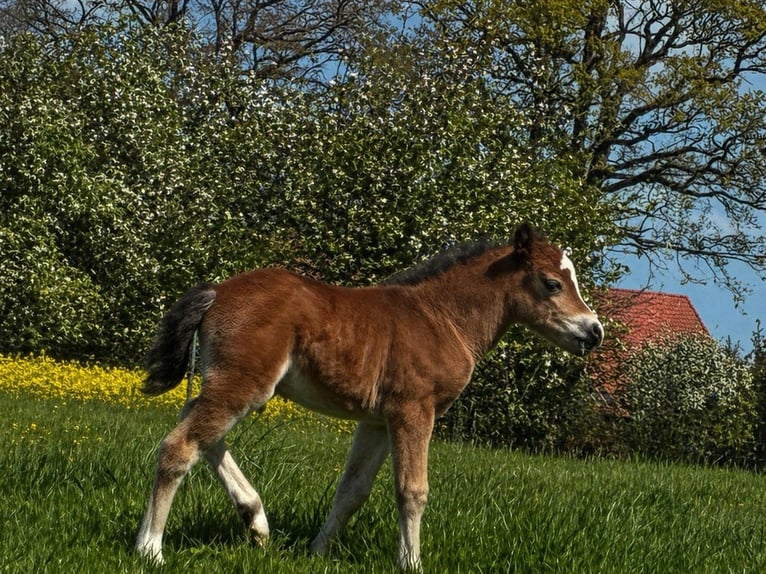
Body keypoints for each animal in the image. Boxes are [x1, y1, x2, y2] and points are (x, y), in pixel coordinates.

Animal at [135, 223, 603, 570]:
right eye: (552, 283)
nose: (594, 332)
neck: (441, 318)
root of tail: (216, 292)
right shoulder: (413, 410)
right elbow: (412, 490)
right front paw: (411, 564)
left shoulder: (377, 420)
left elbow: (352, 489)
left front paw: (317, 552)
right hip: (243, 383)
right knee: (180, 445)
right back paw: (150, 549)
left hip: (235, 384)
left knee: (200, 430)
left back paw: (256, 521)